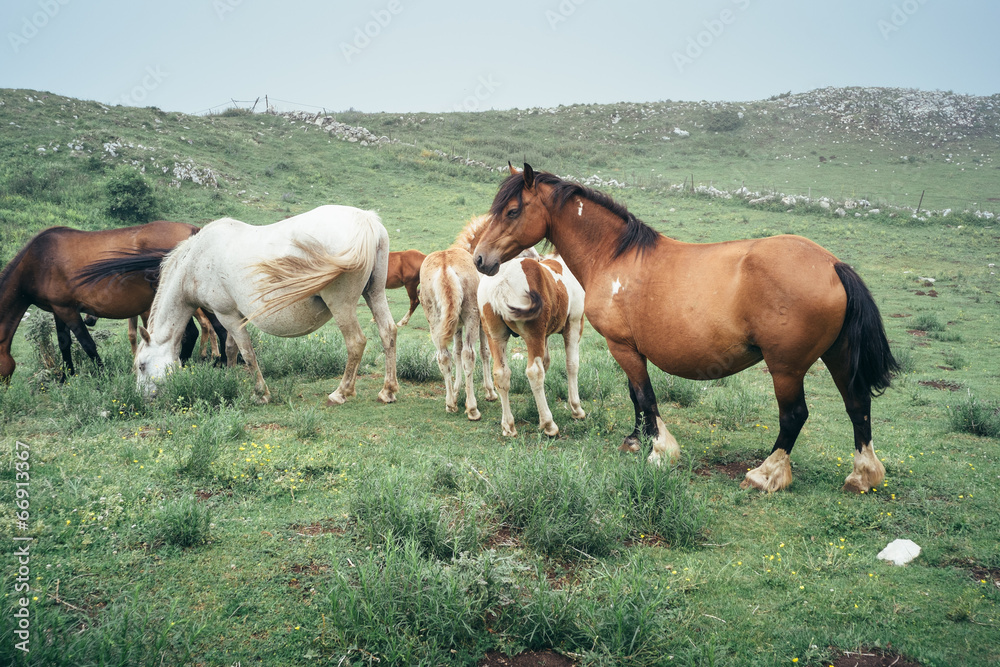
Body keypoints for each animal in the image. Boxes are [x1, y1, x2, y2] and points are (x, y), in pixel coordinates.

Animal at [0, 223, 203, 384]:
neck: (36, 262)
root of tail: (194, 230)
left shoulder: (68, 310)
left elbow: (87, 344)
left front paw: (103, 375)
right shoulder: (57, 310)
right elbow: (64, 344)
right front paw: (66, 379)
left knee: (190, 334)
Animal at [134, 206, 398, 408]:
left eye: (141, 365)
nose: (142, 400)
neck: (197, 259)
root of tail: (366, 220)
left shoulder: (227, 315)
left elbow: (247, 352)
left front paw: (260, 393)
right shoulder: (233, 316)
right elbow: (231, 348)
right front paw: (230, 379)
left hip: (341, 305)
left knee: (355, 342)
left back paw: (340, 393)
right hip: (374, 294)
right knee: (388, 332)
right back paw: (388, 391)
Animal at [476, 254, 584, 438]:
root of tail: (503, 280)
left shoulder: (545, 336)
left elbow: (546, 363)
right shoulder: (574, 324)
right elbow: (572, 365)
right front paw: (576, 409)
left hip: (496, 337)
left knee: (501, 374)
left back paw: (508, 426)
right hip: (533, 336)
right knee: (534, 372)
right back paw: (549, 425)